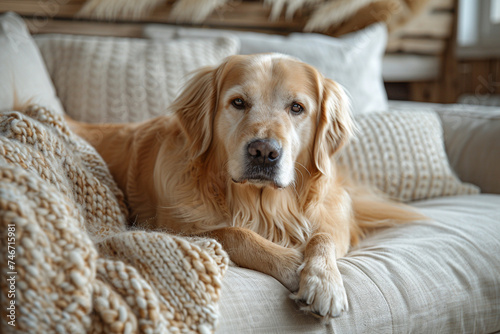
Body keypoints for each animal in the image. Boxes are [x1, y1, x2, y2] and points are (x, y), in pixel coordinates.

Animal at [68, 53, 424, 320]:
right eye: (238, 102)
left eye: (297, 107)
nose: (264, 152)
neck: (260, 203)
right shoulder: (167, 225)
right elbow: (232, 232)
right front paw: (291, 262)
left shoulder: (334, 223)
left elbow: (321, 237)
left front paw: (323, 280)